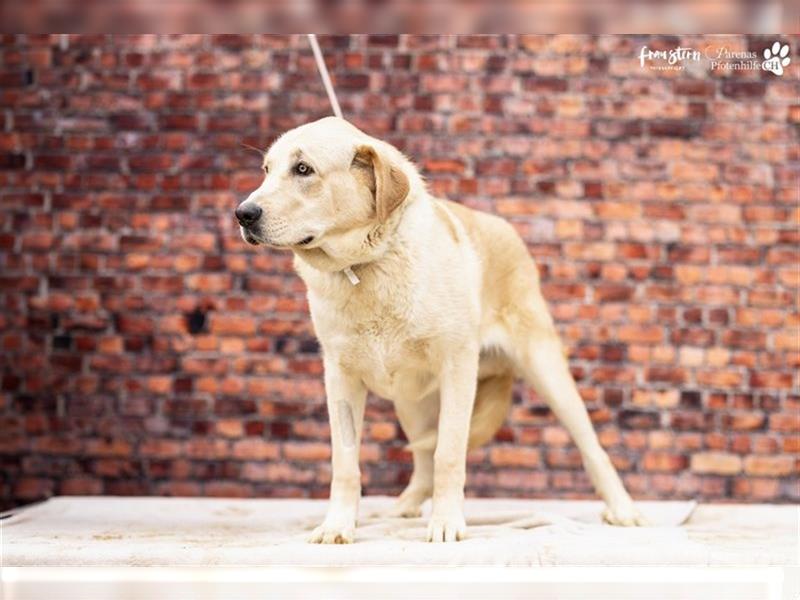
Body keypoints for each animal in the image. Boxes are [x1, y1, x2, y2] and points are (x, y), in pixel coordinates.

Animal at [234, 117, 648, 544]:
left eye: (303, 169)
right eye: (266, 170)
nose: (242, 213)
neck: (369, 266)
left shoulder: (457, 368)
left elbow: (448, 454)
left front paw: (447, 522)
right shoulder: (340, 378)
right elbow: (345, 463)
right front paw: (338, 525)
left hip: (546, 371)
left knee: (592, 447)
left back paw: (623, 510)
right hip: (410, 400)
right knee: (421, 460)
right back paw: (404, 506)